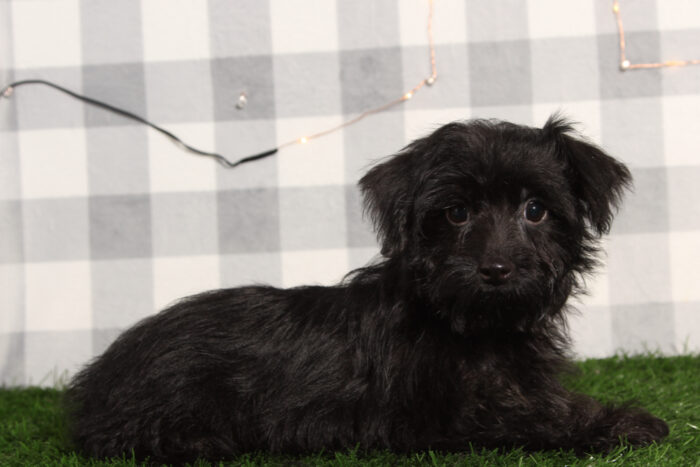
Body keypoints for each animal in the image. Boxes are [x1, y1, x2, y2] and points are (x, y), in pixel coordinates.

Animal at [65, 115, 668, 462]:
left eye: (536, 210)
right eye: (456, 213)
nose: (496, 268)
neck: (469, 322)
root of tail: (95, 381)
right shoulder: (449, 414)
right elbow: (539, 417)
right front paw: (620, 421)